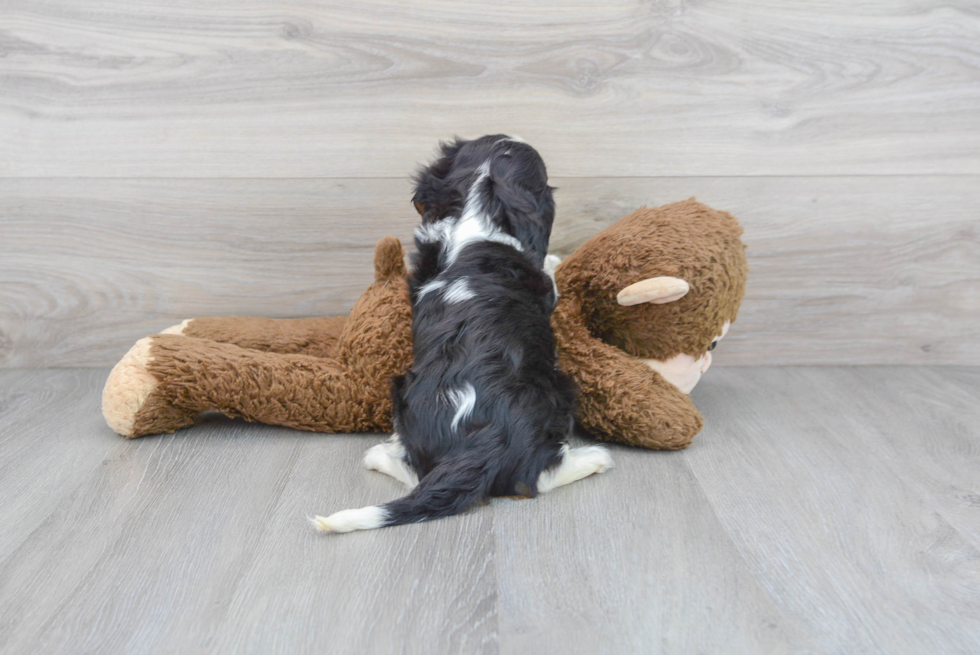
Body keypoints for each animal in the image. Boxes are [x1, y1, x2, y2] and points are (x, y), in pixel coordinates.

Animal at [312, 136, 612, 536]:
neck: (476, 213)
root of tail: (480, 440)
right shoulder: (543, 288)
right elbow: (549, 277)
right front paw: (554, 260)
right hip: (558, 390)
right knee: (537, 479)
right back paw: (595, 458)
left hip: (403, 395)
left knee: (418, 472)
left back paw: (379, 454)